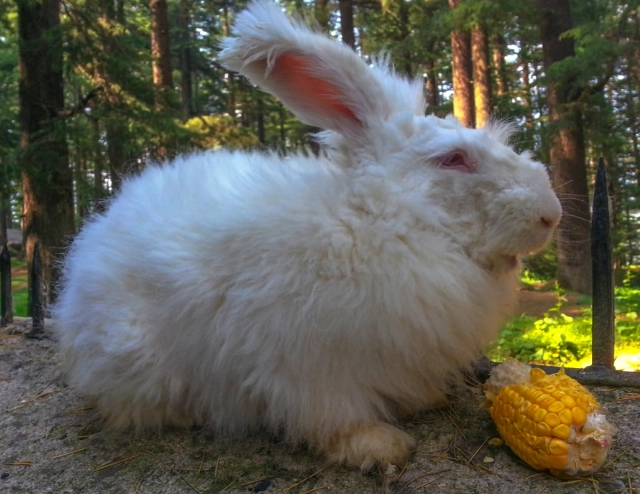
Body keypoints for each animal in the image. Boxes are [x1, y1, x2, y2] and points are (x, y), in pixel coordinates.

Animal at [53, 0, 562, 471]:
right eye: (454, 159)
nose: (551, 215)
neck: (382, 218)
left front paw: (423, 401)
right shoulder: (308, 364)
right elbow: (333, 416)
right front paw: (380, 446)